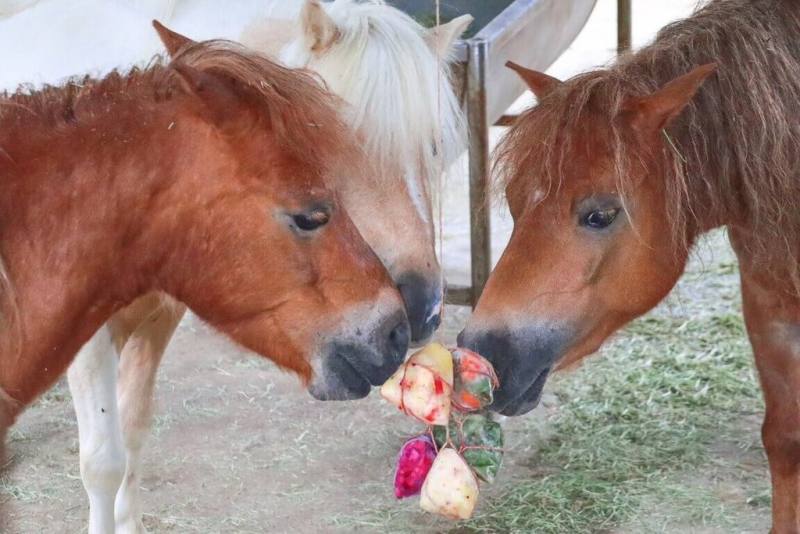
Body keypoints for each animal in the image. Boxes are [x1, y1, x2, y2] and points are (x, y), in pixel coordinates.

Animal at [1, 1, 470, 531]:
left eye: (434, 147)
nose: (419, 309)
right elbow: (103, 462)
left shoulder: (158, 318)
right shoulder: (88, 339)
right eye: (335, 148)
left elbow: (134, 432)